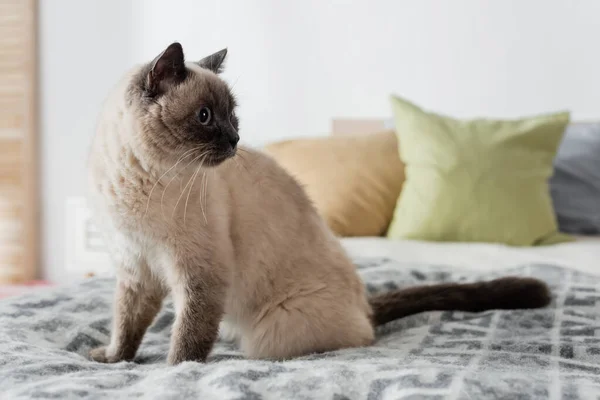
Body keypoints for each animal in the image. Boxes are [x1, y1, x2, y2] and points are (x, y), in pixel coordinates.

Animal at [86, 42, 552, 364]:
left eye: (232, 117)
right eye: (205, 117)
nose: (235, 141)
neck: (139, 183)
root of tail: (365, 305)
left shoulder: (199, 276)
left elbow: (188, 338)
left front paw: (175, 373)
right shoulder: (136, 271)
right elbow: (126, 325)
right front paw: (114, 360)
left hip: (268, 335)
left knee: (354, 337)